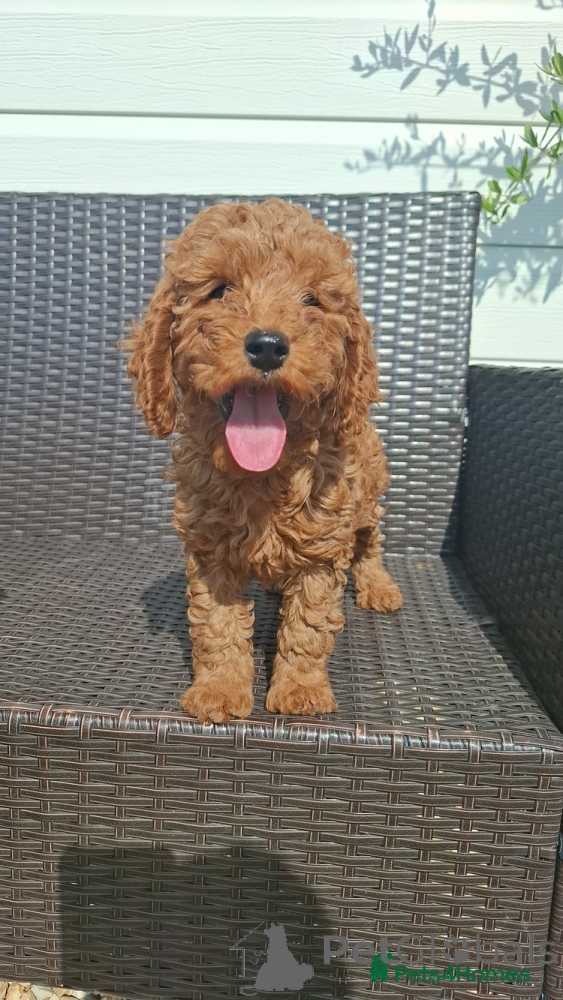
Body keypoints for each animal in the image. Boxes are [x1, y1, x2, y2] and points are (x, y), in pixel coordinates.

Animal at [123, 199, 403, 722]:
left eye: (312, 300)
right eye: (219, 290)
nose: (269, 346)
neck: (264, 473)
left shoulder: (323, 548)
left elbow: (308, 625)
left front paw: (301, 690)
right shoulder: (210, 551)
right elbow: (217, 624)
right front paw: (219, 689)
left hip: (369, 490)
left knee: (370, 540)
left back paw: (379, 587)